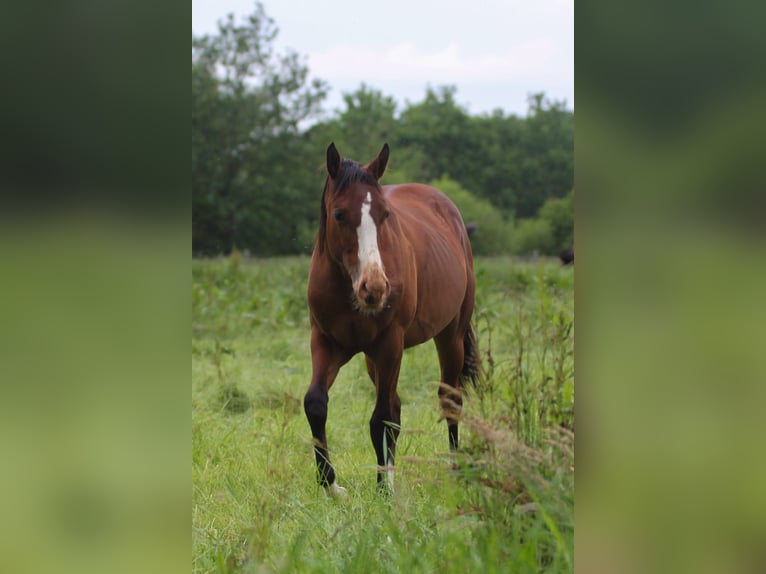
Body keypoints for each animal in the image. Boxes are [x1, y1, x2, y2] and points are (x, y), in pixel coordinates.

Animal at [304, 142, 479, 496]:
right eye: (339, 214)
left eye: (385, 214)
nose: (375, 287)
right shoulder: (327, 342)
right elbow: (316, 403)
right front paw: (331, 484)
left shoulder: (389, 345)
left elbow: (382, 418)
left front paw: (384, 489)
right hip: (374, 359)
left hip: (449, 337)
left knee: (450, 400)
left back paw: (455, 469)